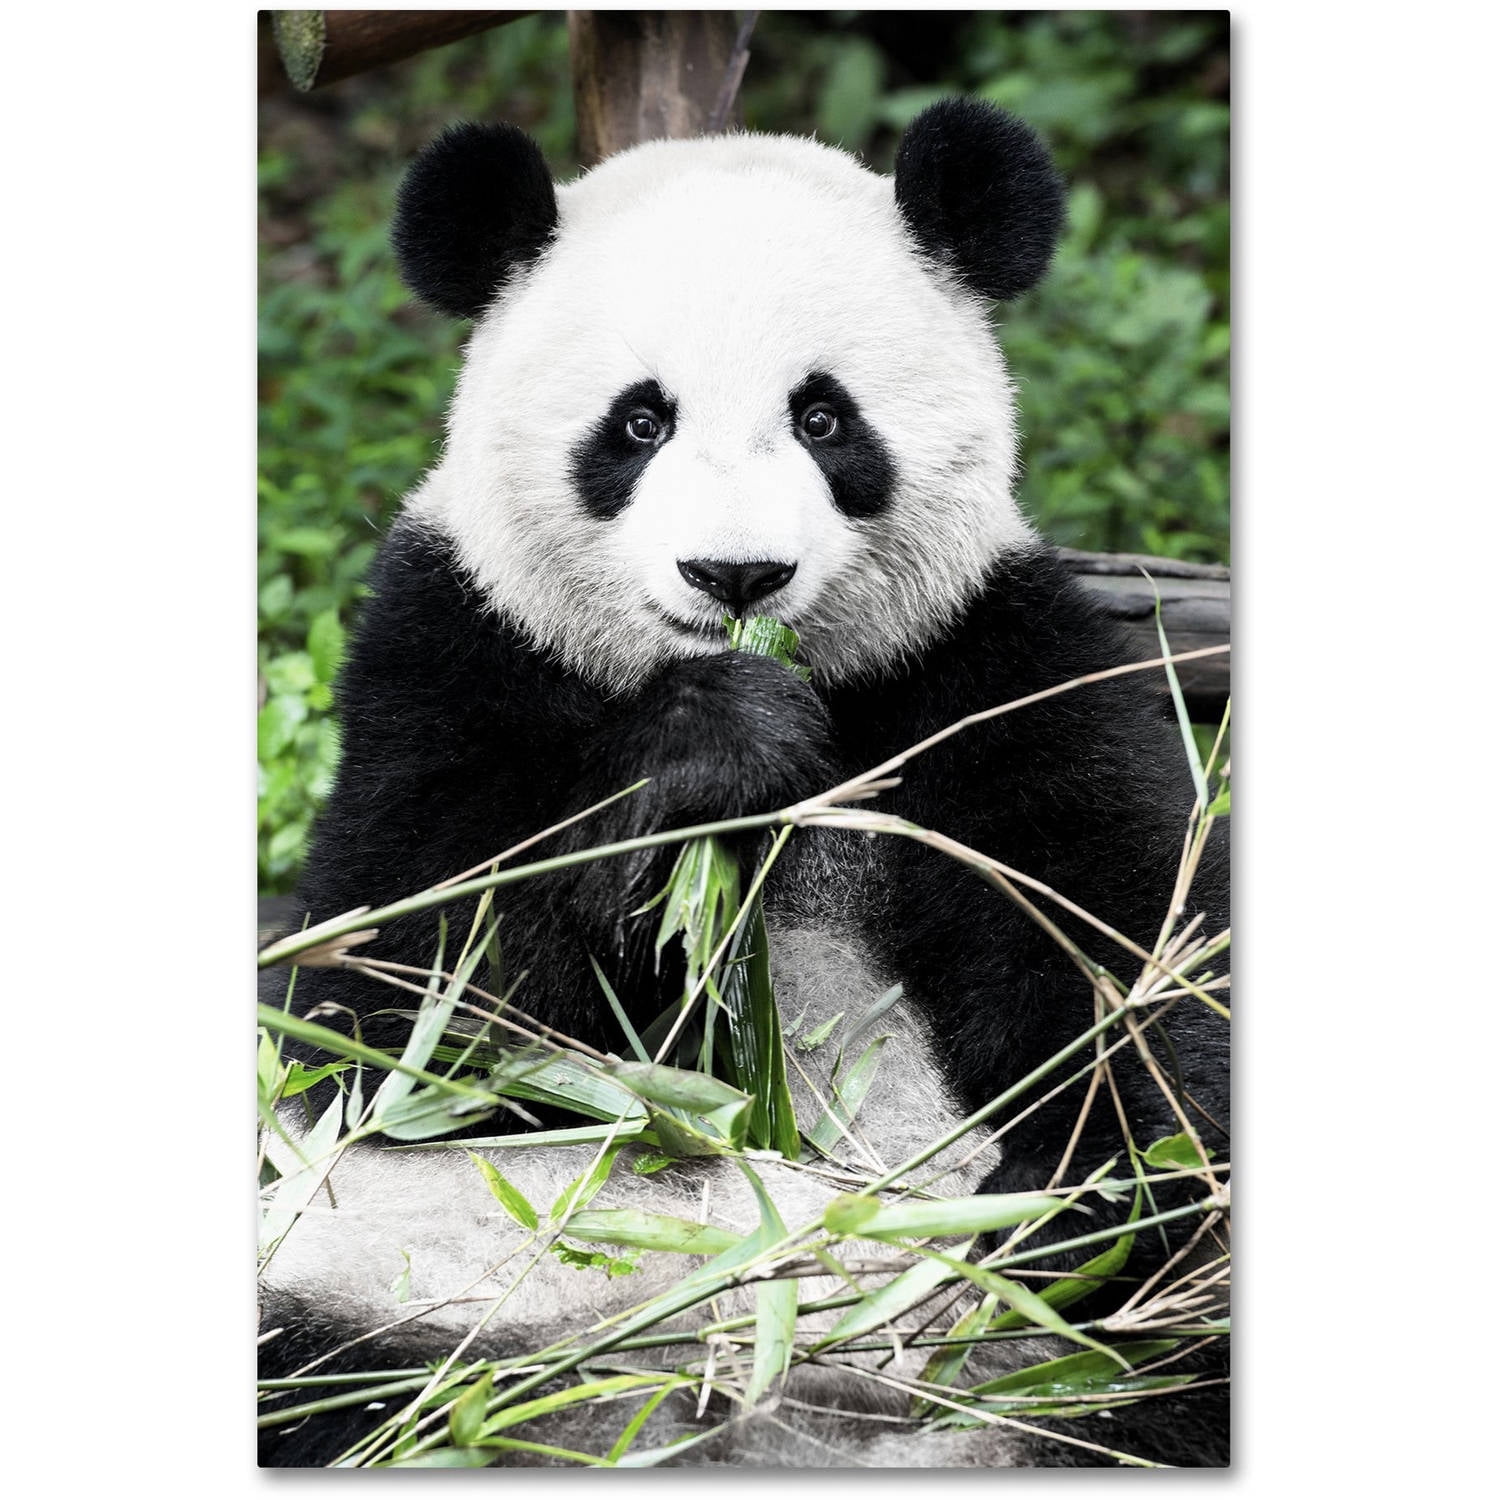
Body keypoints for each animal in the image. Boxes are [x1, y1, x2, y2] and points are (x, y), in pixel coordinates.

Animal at [257, 99, 1230, 1469]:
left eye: (825, 419)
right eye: (638, 424)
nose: (736, 577)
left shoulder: (991, 658)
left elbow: (1127, 945)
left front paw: (1095, 1196)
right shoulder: (449, 644)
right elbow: (404, 1009)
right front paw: (714, 749)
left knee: (1173, 1358)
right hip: (416, 1290)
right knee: (322, 1371)